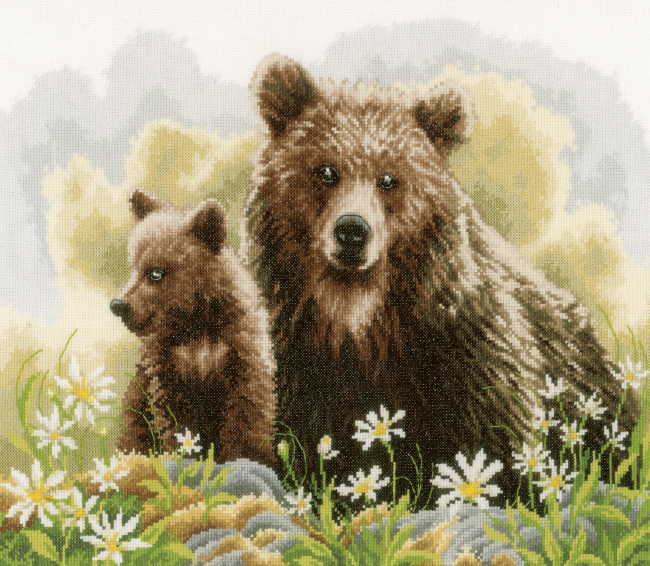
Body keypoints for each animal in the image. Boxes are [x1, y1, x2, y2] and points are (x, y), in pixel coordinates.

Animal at [110, 190, 277, 465]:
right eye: (133, 267)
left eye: (155, 273)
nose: (118, 305)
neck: (195, 323)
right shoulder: (168, 367)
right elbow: (176, 421)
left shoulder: (240, 353)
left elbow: (246, 411)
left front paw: (245, 458)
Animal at [243, 54, 638, 499]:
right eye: (325, 170)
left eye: (389, 178)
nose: (352, 231)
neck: (357, 320)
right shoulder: (293, 353)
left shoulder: (463, 348)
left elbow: (495, 442)